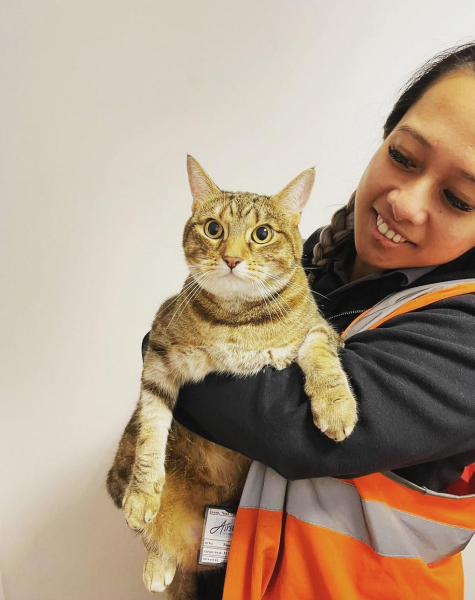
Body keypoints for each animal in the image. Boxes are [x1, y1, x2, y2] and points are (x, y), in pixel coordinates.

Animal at [106, 157, 358, 596]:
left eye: (262, 234)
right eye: (213, 229)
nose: (231, 258)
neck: (237, 320)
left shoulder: (323, 330)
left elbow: (319, 352)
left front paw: (336, 407)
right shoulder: (158, 352)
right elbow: (152, 431)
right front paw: (143, 496)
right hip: (120, 467)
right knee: (154, 531)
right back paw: (158, 560)